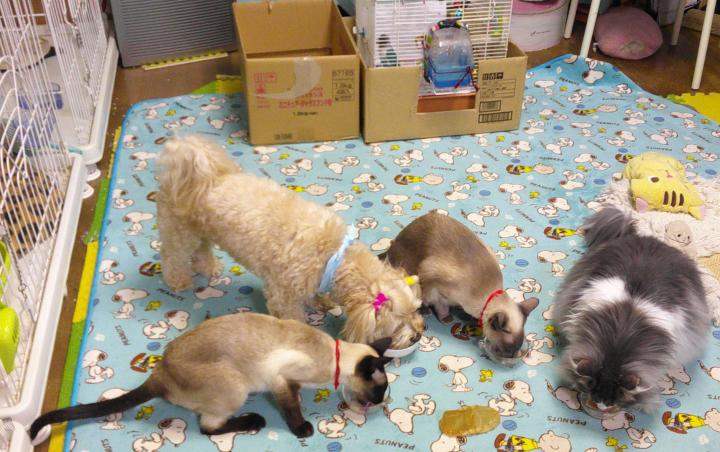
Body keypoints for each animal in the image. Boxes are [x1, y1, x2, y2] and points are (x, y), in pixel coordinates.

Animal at [30, 313, 392, 442]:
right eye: (379, 393)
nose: (377, 405)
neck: (334, 354)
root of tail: (160, 371)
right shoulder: (280, 379)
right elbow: (291, 408)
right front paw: (303, 428)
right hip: (235, 387)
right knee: (208, 428)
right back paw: (254, 420)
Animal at [156, 135, 424, 349]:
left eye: (415, 311)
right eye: (397, 325)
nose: (417, 336)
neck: (334, 258)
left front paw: (320, 302)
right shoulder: (283, 295)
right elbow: (291, 317)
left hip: (202, 231)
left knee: (202, 250)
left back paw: (209, 267)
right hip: (180, 231)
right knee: (173, 256)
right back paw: (178, 280)